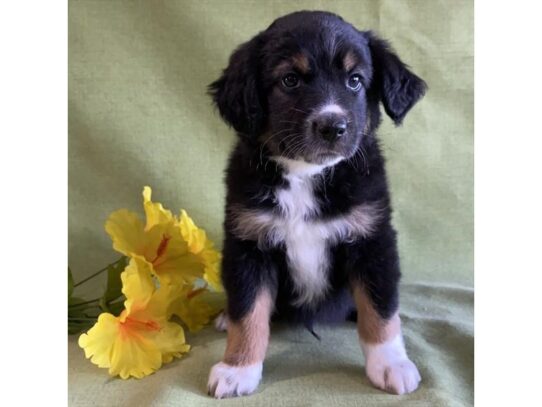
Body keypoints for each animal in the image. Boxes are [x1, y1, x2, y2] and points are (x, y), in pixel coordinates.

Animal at [206, 11, 428, 400]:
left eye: (355, 81)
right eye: (290, 80)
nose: (332, 126)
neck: (306, 175)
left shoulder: (372, 239)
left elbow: (380, 309)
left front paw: (391, 365)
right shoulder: (249, 244)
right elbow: (248, 313)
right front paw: (237, 369)